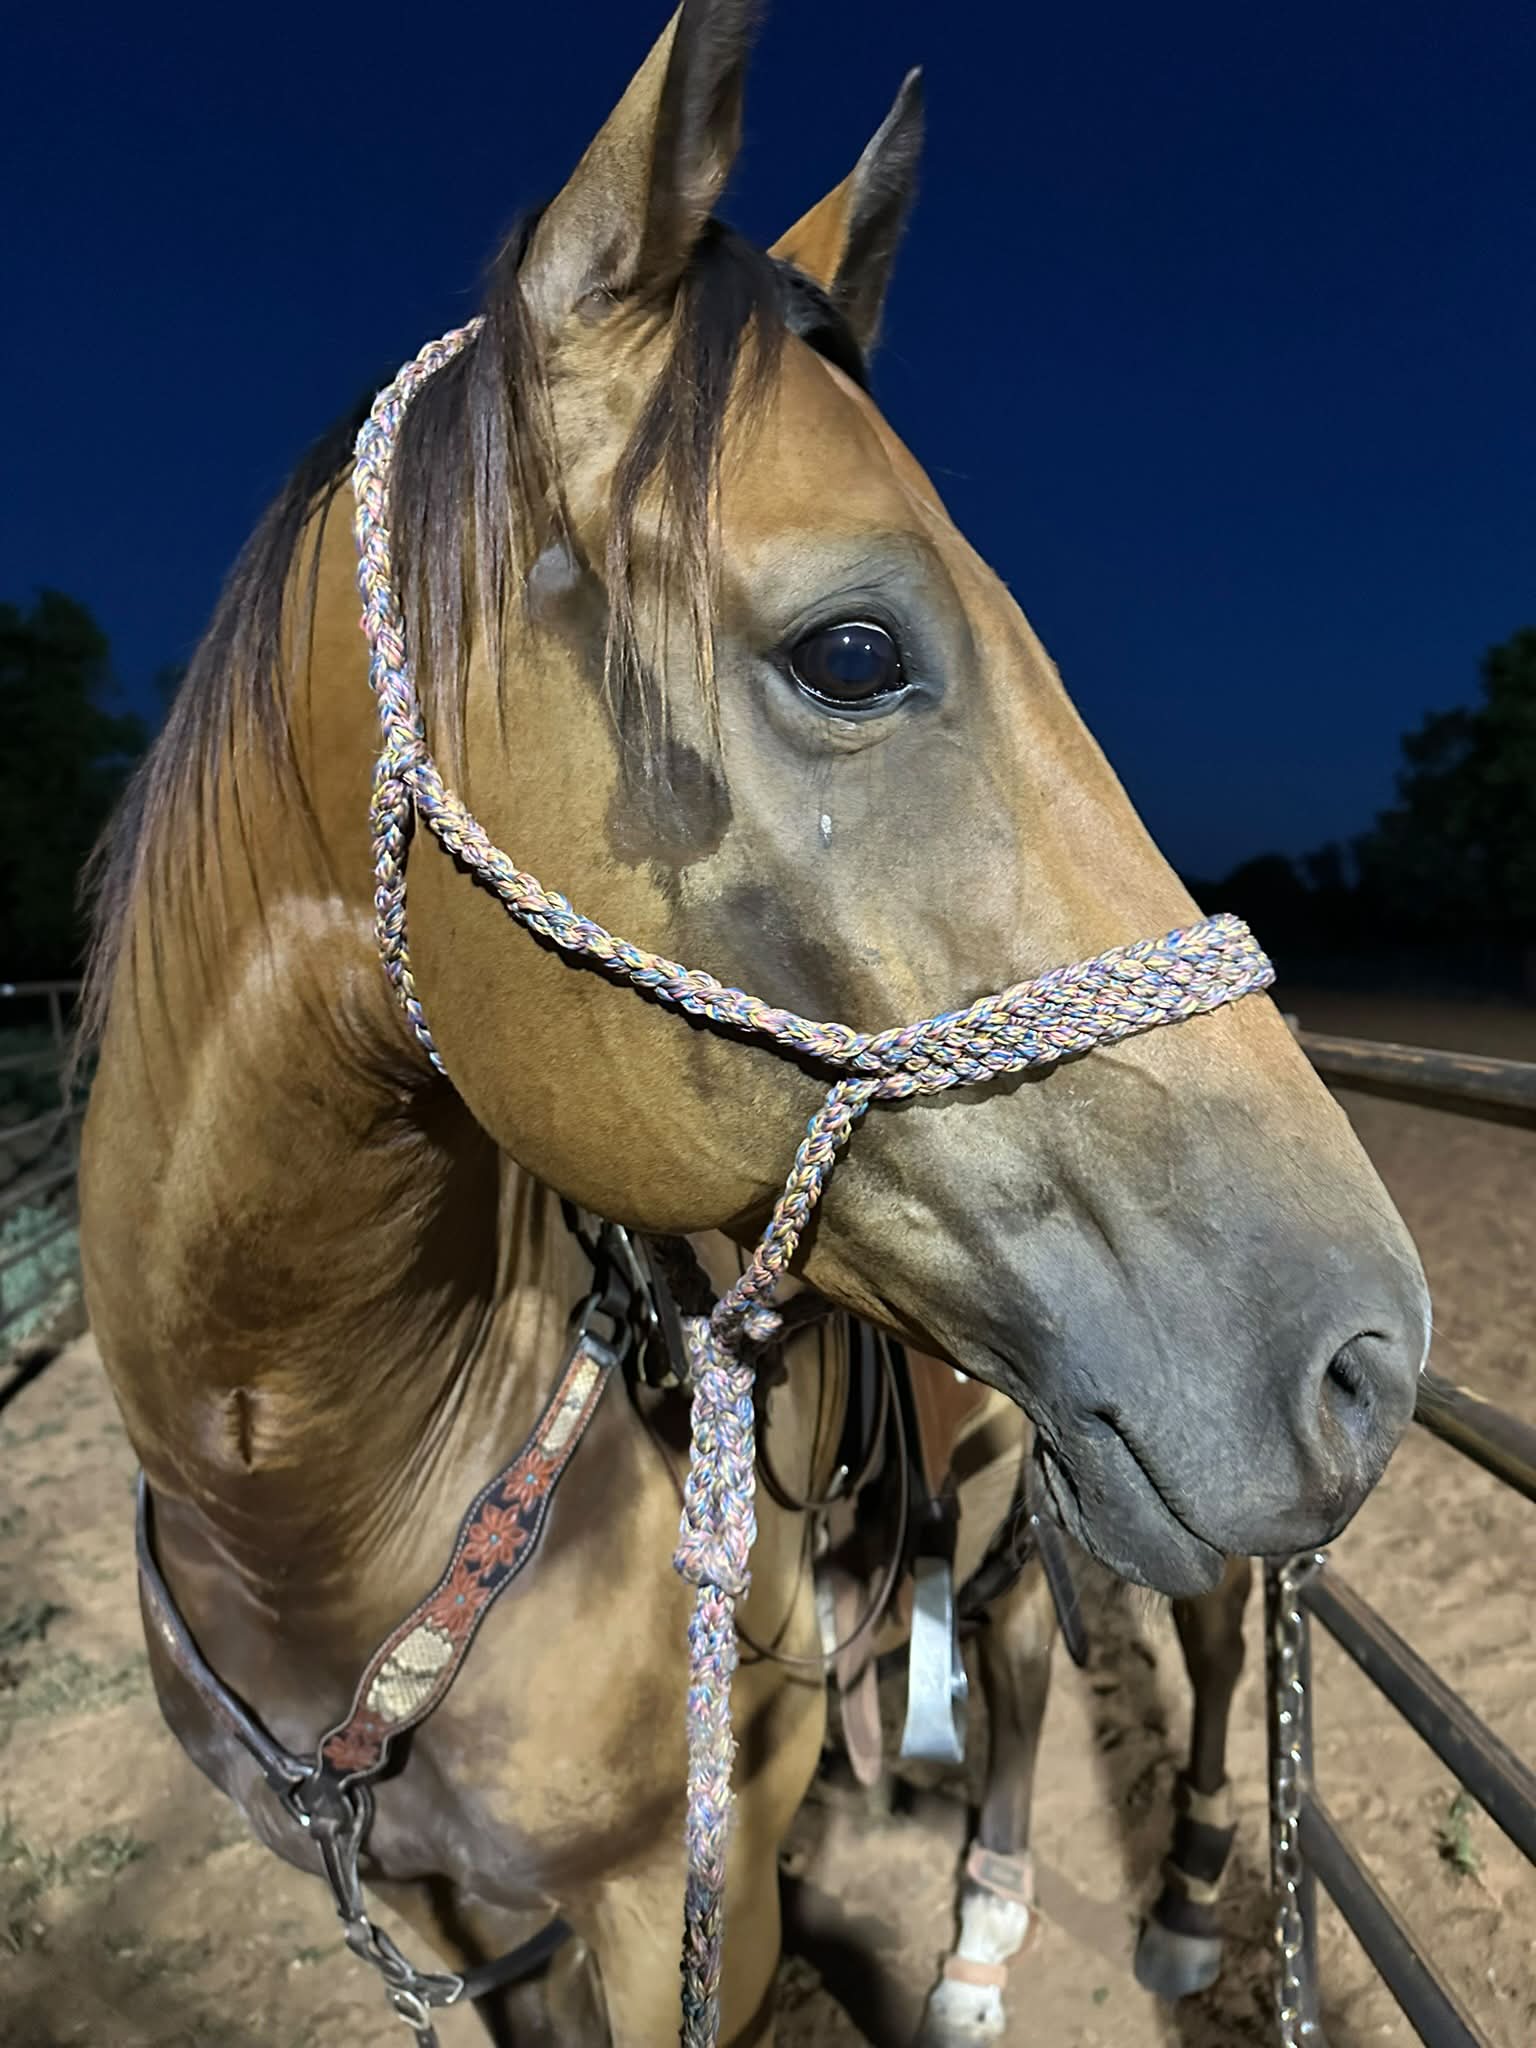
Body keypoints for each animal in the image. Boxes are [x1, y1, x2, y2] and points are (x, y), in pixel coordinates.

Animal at [78, 2, 1431, 2041]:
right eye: (852, 652)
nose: (1369, 1353)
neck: (316, 1516)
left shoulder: (689, 1905)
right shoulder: (459, 1936)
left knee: (1196, 1641)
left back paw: (1190, 1895)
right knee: (1014, 1655)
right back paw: (980, 1930)